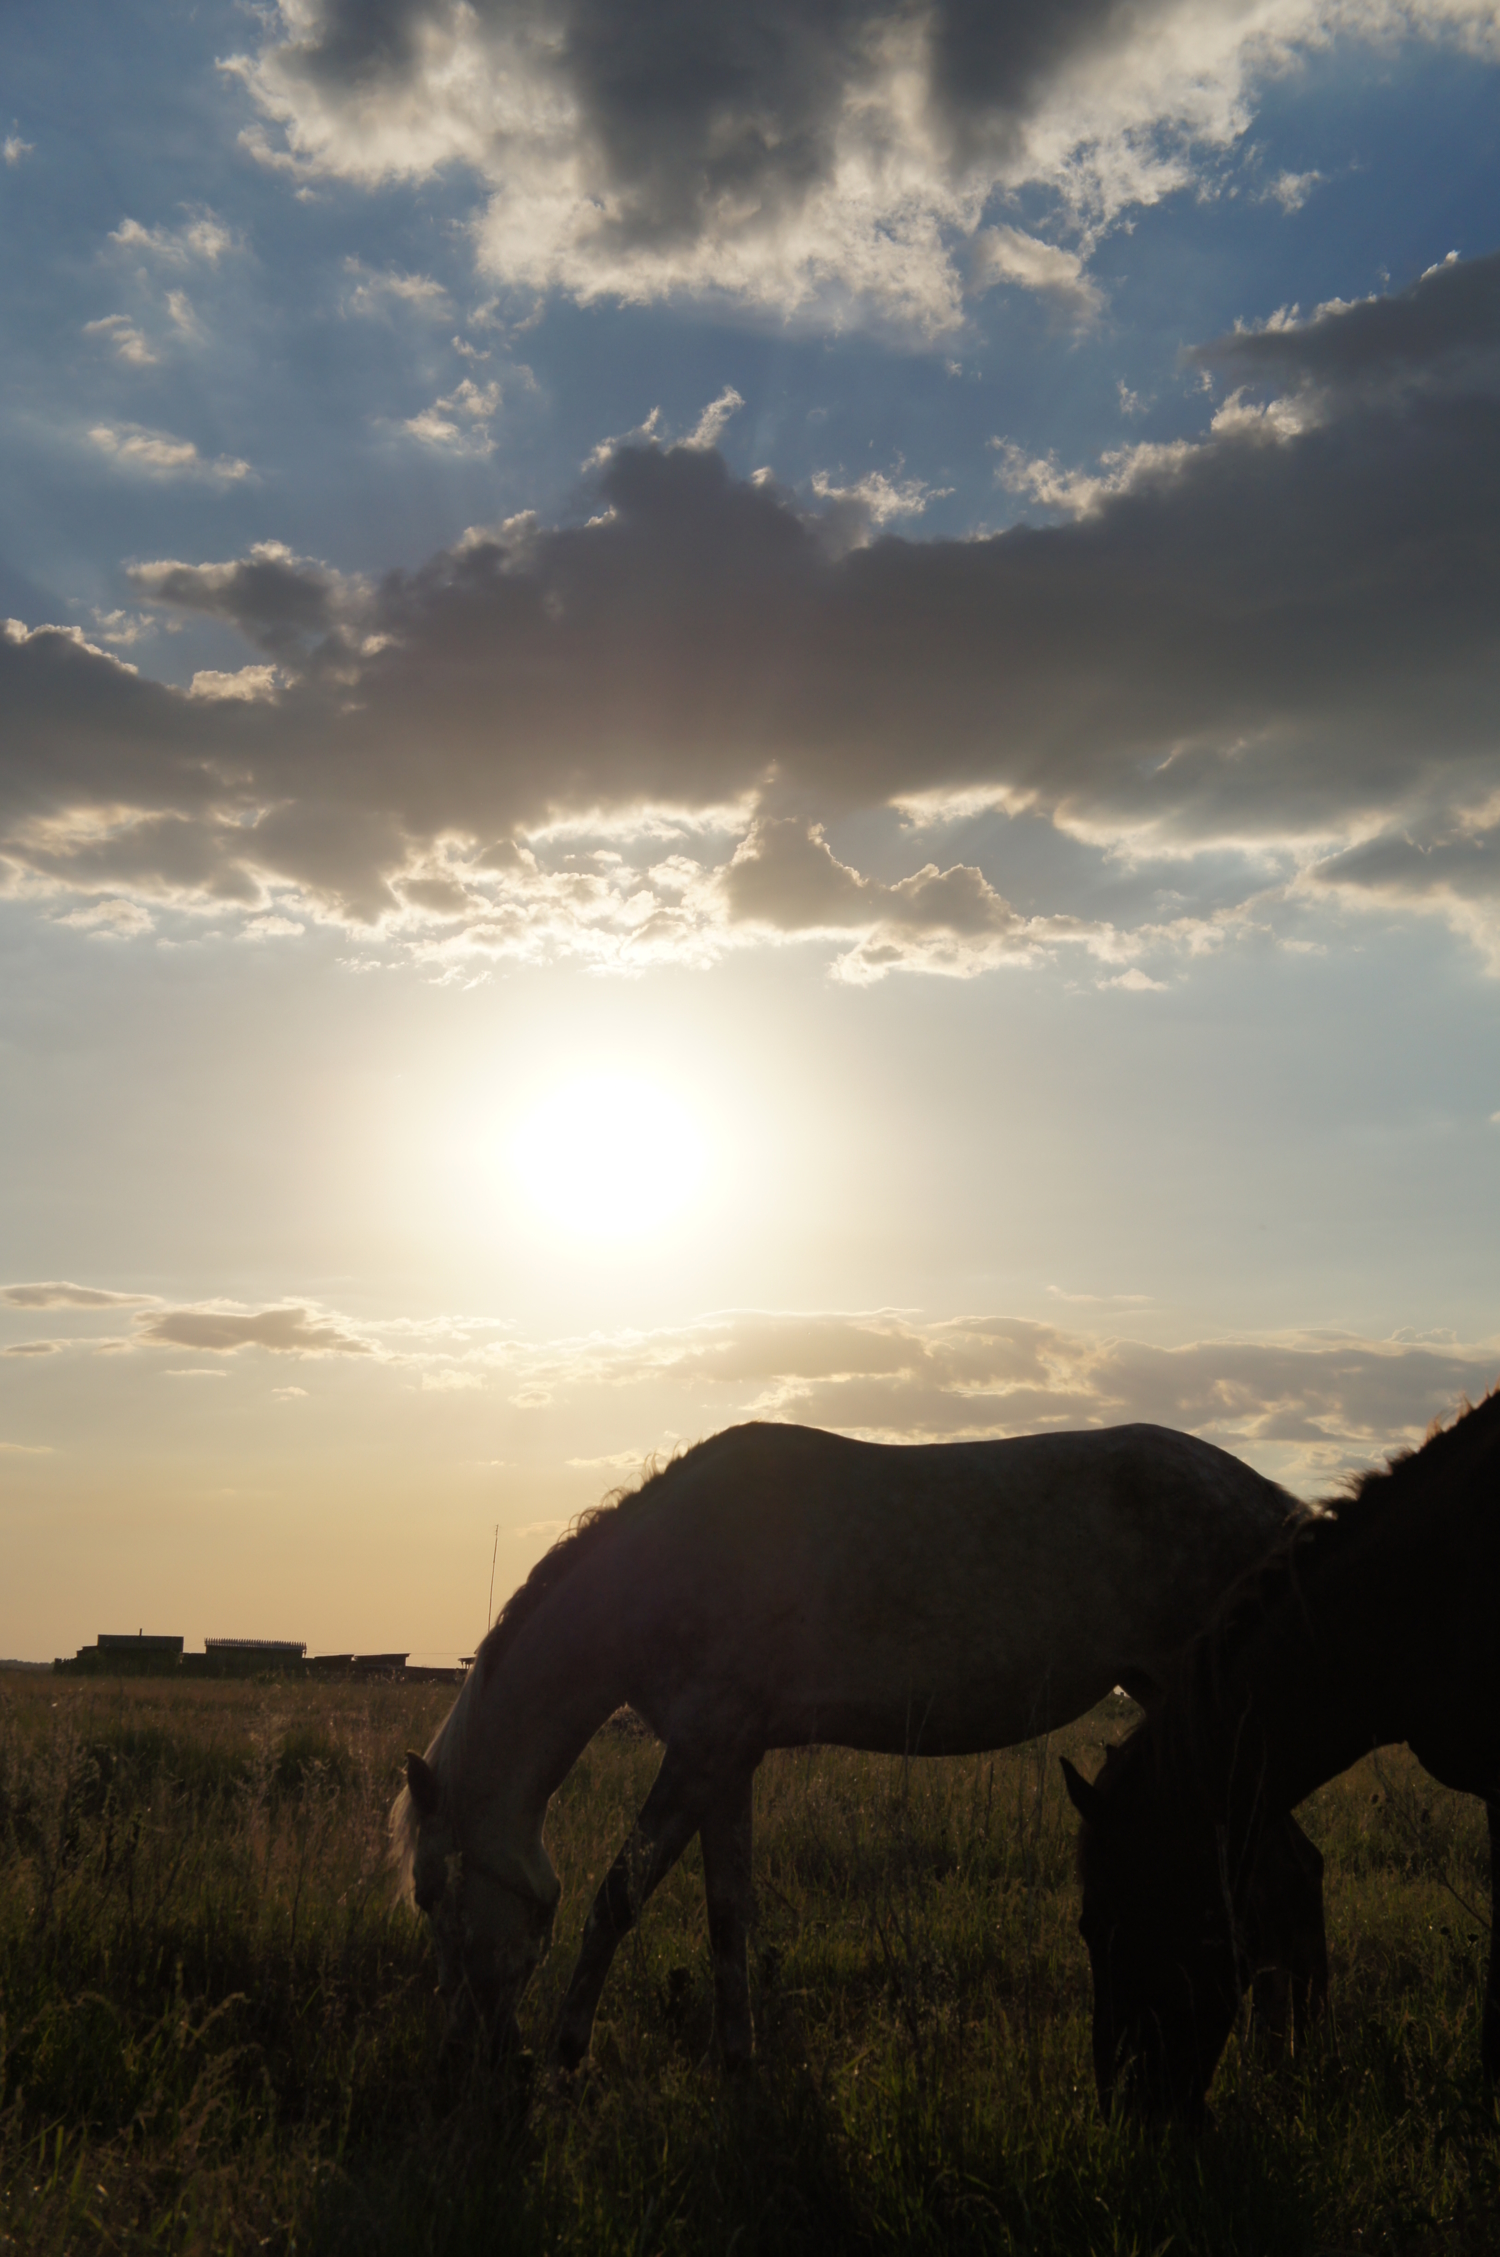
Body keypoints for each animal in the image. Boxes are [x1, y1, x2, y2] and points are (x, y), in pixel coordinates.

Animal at [387, 1417, 1308, 2067]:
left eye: (432, 1895)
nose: (463, 2050)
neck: (663, 1570)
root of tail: (1271, 1500)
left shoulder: (701, 1751)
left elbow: (619, 1894)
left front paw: (569, 2052)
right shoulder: (725, 1760)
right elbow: (729, 1912)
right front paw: (737, 2057)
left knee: (1281, 1880)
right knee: (1287, 1870)